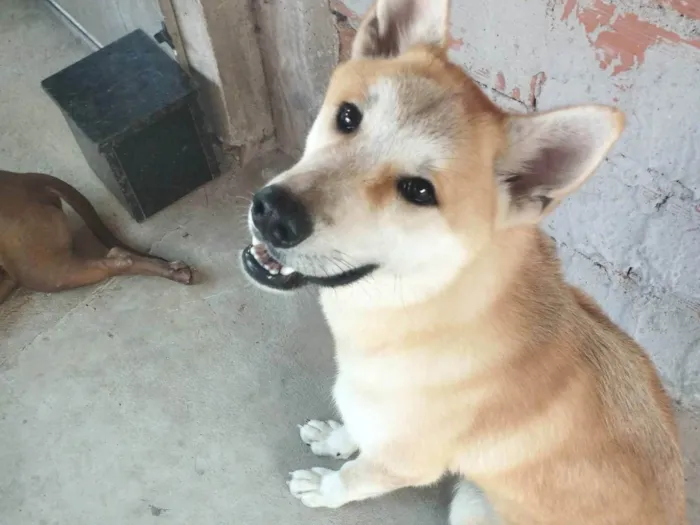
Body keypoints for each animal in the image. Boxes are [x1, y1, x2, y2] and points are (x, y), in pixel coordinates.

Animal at [239, 2, 684, 520]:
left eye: (418, 191)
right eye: (348, 116)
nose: (274, 214)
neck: (425, 303)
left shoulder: (401, 464)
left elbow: (353, 477)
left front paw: (326, 485)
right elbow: (358, 428)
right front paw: (336, 437)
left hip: (470, 501)